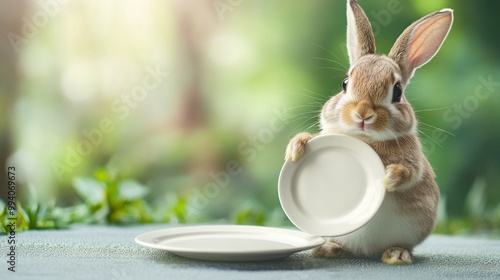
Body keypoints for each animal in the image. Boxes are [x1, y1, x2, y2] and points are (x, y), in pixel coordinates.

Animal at [286, 0, 454, 264]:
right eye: (345, 83)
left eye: (397, 91)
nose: (363, 113)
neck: (364, 137)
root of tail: (367, 250)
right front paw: (295, 147)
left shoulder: (413, 161)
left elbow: (410, 173)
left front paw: (389, 178)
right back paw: (329, 249)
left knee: (400, 245)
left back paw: (396, 254)